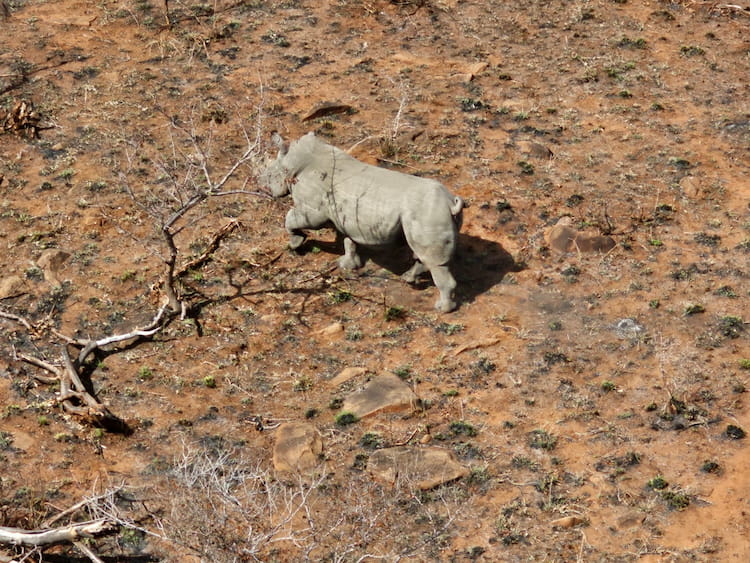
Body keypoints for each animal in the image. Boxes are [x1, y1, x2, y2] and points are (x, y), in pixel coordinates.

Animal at [261, 132, 465, 312]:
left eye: (268, 174)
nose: (264, 187)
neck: (292, 161)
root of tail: (450, 203)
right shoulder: (346, 217)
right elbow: (348, 241)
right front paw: (347, 265)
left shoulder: (313, 210)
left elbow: (291, 218)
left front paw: (295, 244)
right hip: (427, 214)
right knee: (423, 254)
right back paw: (408, 279)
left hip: (427, 213)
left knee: (434, 262)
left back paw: (442, 309)